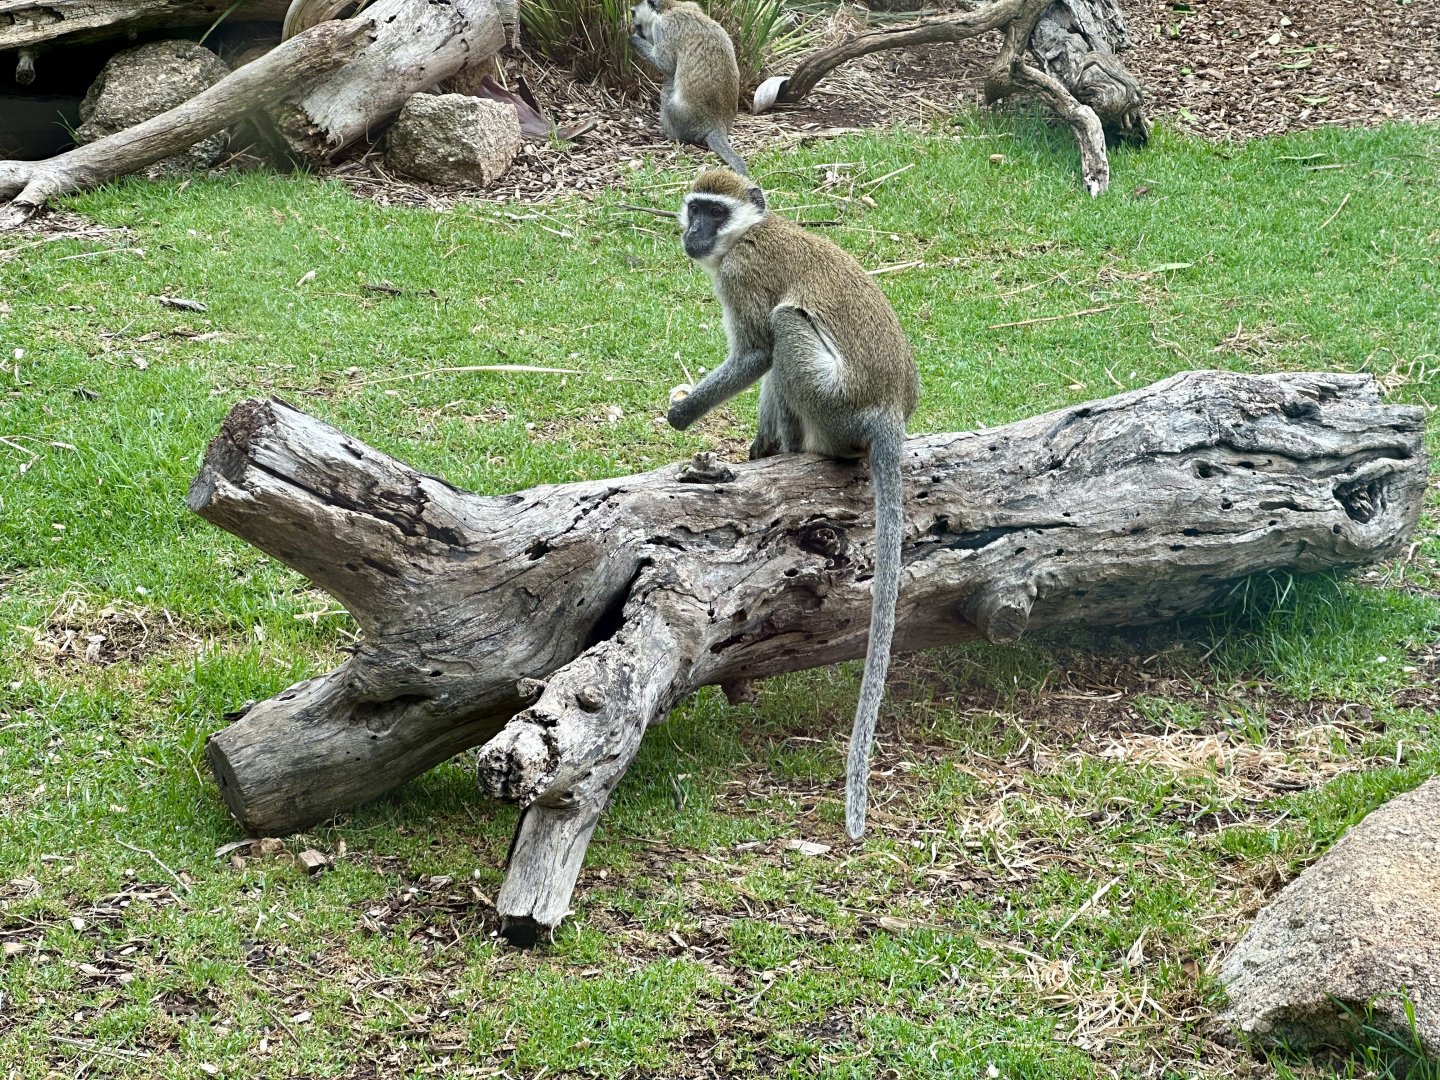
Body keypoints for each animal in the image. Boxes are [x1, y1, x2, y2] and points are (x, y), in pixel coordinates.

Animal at [629, 0, 749, 176]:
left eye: (638, 25)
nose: (639, 32)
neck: (672, 6)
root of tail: (717, 125)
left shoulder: (663, 27)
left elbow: (665, 65)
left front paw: (633, 39)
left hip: (685, 119)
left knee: (668, 88)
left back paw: (670, 134)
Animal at [666, 168, 919, 839]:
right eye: (694, 208)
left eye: (714, 211)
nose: (692, 234)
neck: (750, 232)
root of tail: (887, 412)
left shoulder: (744, 272)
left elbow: (756, 352)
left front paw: (683, 413)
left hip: (832, 406)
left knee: (784, 328)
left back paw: (781, 451)